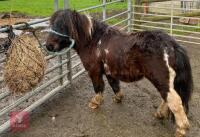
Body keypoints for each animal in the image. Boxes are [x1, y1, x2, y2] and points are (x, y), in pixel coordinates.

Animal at [45, 9, 192, 137]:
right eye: (52, 24)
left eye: (63, 26)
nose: (48, 46)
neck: (93, 40)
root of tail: (172, 45)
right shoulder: (110, 71)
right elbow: (114, 85)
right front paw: (118, 98)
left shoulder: (94, 71)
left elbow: (98, 87)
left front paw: (95, 103)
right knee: (167, 98)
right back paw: (160, 114)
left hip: (161, 80)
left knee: (174, 101)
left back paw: (181, 129)